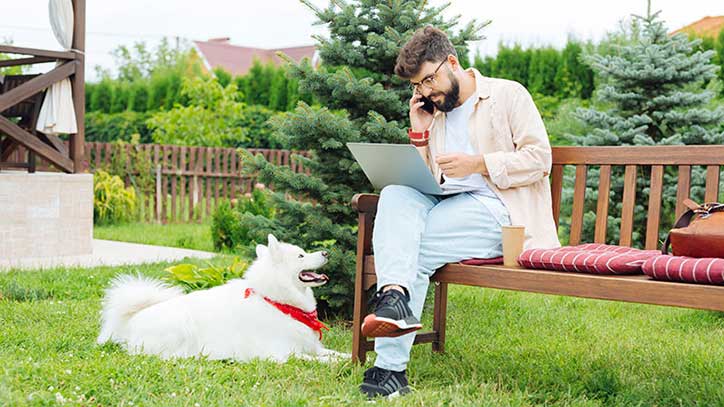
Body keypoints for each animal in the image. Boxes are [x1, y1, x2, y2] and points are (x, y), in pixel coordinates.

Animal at [97, 236, 350, 364]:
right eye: (301, 255)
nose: (326, 253)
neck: (277, 303)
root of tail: (128, 322)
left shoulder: (310, 346)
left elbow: (332, 353)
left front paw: (350, 358)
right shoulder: (281, 354)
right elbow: (318, 360)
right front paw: (339, 364)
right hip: (180, 325)